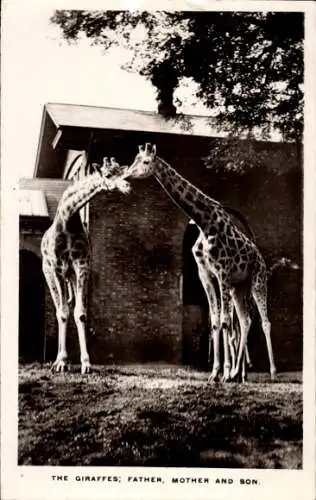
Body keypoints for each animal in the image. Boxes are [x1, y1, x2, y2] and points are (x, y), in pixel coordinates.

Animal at [41, 158, 131, 374]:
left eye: (121, 171)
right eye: (108, 175)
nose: (127, 186)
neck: (68, 218)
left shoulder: (81, 265)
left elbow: (80, 314)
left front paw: (86, 363)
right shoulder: (57, 267)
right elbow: (63, 312)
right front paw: (62, 362)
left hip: (71, 276)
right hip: (48, 273)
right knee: (58, 308)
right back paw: (56, 360)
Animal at [123, 144, 276, 382]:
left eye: (146, 162)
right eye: (134, 159)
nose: (127, 174)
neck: (204, 223)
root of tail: (259, 256)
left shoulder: (222, 273)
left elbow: (224, 321)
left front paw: (224, 374)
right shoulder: (206, 275)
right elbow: (215, 321)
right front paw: (216, 373)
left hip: (257, 282)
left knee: (264, 321)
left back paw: (271, 372)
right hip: (239, 287)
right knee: (245, 321)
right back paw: (238, 373)